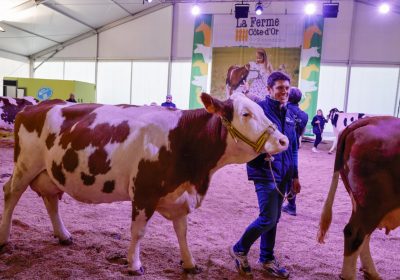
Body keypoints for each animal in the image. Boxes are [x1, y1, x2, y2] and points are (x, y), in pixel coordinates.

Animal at [318, 116, 400, 280]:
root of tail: (372, 119)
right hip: (372, 202)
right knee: (354, 233)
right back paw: (350, 275)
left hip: (361, 202)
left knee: (364, 236)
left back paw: (371, 272)